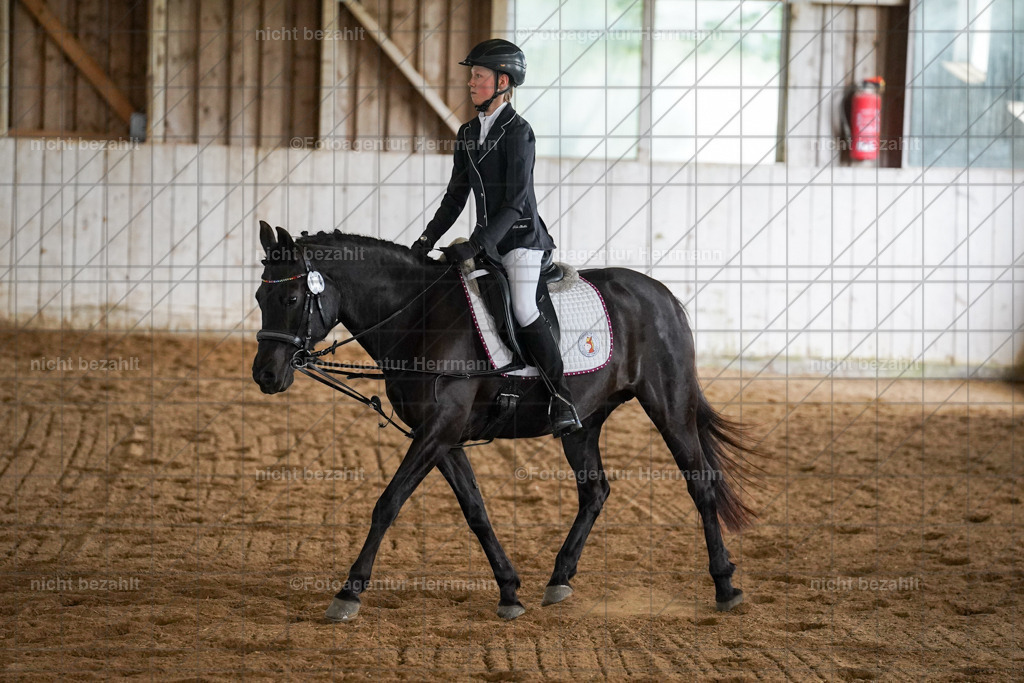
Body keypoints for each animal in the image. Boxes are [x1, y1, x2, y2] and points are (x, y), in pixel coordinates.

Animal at [251, 221, 761, 622]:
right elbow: (475, 510)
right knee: (595, 491)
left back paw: (725, 586)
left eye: (292, 296)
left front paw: (348, 593)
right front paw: (510, 591)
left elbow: (388, 503)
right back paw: (558, 579)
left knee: (700, 483)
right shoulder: (442, 437)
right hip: (583, 422)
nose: (265, 375)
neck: (417, 316)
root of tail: (665, 295)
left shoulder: (439, 430)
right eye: (259, 295)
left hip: (668, 405)